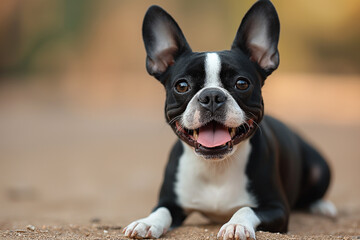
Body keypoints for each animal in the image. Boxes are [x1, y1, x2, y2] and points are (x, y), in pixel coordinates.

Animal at [122, 0, 336, 239]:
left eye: (242, 83)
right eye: (182, 85)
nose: (212, 96)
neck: (216, 167)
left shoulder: (277, 208)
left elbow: (246, 209)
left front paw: (236, 225)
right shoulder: (169, 201)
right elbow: (161, 211)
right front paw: (146, 222)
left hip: (320, 167)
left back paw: (322, 206)